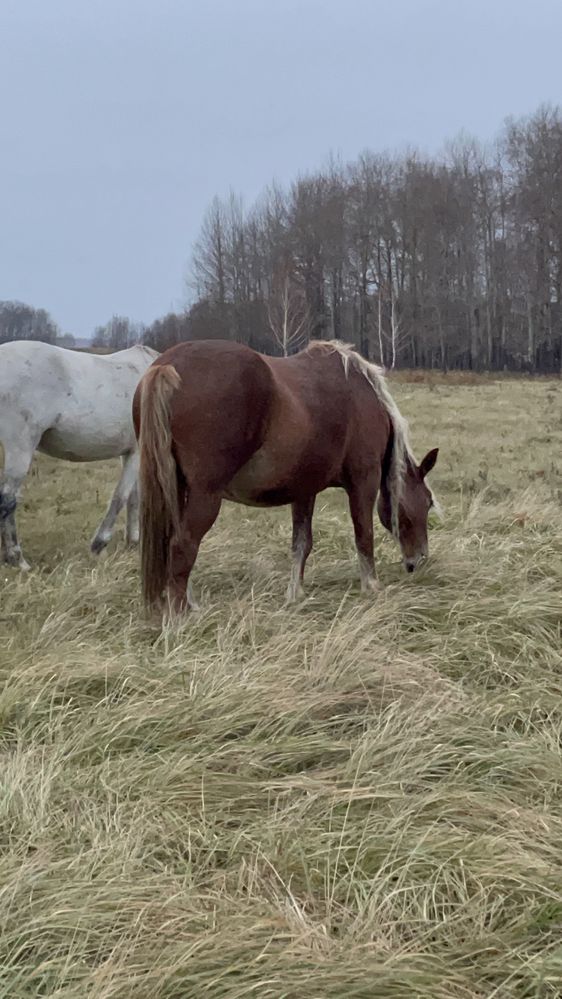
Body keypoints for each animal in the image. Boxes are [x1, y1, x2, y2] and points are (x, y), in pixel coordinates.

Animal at [0, 340, 158, 568]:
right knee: (8, 500)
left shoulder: (129, 452)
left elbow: (133, 497)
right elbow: (120, 497)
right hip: (20, 447)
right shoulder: (136, 452)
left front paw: (133, 543)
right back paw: (18, 560)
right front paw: (99, 545)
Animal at [135, 340, 438, 612]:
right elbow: (364, 535)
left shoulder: (304, 490)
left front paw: (295, 593)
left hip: (175, 490)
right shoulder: (364, 480)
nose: (419, 560)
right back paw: (180, 616)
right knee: (182, 547)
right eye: (427, 502)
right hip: (204, 496)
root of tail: (167, 366)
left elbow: (301, 544)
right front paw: (371, 587)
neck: (360, 392)